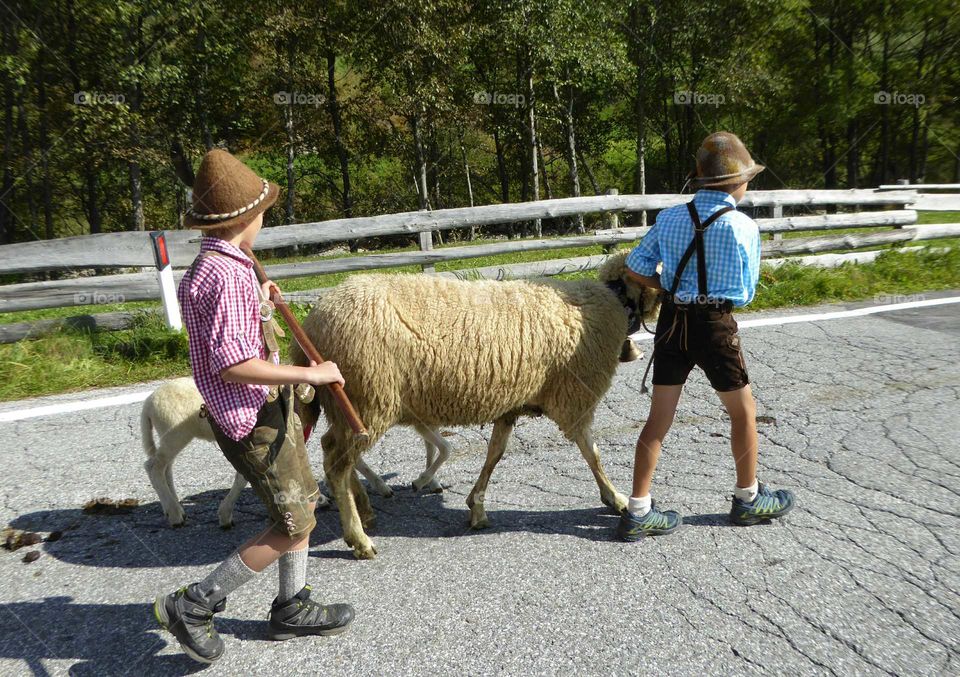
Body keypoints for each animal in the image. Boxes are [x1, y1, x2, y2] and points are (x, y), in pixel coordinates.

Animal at [141, 378, 444, 528]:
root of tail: (148, 403)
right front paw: (225, 514)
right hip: (176, 433)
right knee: (153, 466)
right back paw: (175, 513)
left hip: (171, 435)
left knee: (166, 467)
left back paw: (173, 507)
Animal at [292, 251, 660, 559]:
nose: (639, 352)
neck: (606, 304)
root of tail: (314, 322)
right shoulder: (573, 399)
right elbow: (592, 453)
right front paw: (616, 498)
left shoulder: (511, 405)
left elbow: (494, 455)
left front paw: (476, 507)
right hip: (368, 397)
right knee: (336, 463)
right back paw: (358, 537)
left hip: (350, 404)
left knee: (331, 450)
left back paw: (366, 509)